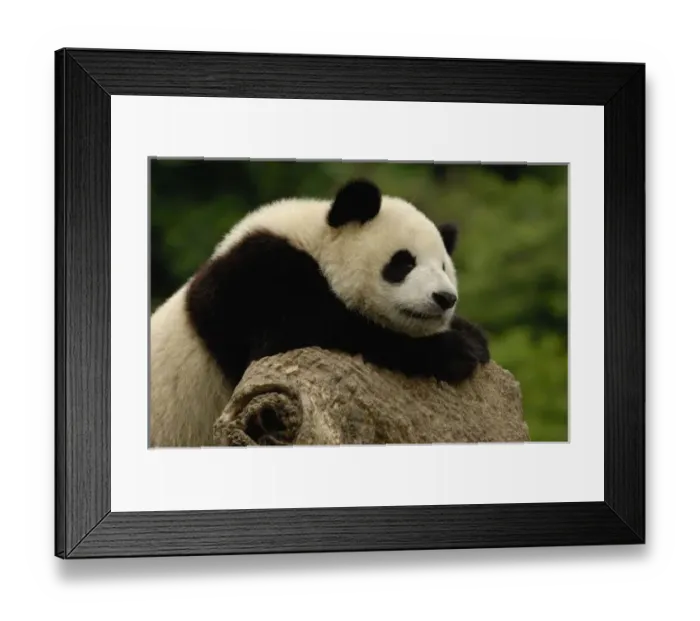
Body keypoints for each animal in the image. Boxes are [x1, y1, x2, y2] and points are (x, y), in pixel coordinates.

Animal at [149, 179, 490, 447]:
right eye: (403, 262)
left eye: (443, 267)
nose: (445, 298)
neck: (314, 241)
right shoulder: (254, 281)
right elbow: (306, 329)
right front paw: (456, 351)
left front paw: (473, 336)